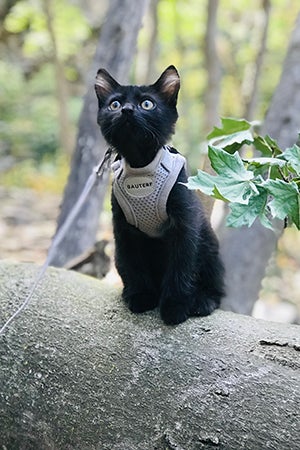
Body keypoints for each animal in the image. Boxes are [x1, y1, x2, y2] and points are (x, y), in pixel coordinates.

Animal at [95, 66, 224, 324]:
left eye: (147, 104)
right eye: (114, 104)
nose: (126, 110)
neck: (141, 166)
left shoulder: (184, 224)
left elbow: (181, 266)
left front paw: (175, 306)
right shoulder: (123, 228)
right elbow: (133, 264)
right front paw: (141, 296)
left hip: (208, 242)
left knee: (216, 285)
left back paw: (203, 300)